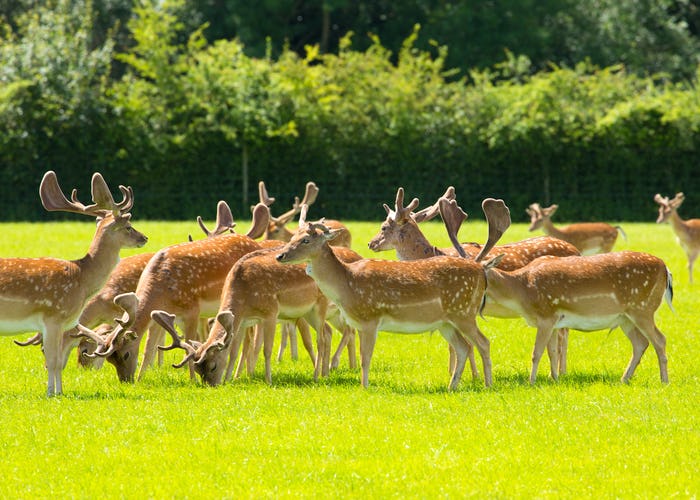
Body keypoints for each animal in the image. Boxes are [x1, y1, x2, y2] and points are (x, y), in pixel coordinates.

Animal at [78, 201, 270, 380]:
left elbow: (189, 348)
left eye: (125, 354)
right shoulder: (159, 314)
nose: (127, 380)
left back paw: (241, 374)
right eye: (110, 359)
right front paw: (140, 379)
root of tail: (255, 243)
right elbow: (149, 348)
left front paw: (193, 381)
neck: (163, 290)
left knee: (248, 338)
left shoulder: (193, 309)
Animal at [366, 188, 580, 376]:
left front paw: (473, 375)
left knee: (564, 334)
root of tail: (577, 250)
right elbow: (454, 344)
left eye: (384, 227)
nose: (371, 243)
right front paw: (453, 372)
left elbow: (466, 344)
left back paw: (561, 371)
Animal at [442, 197, 672, 384]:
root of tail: (665, 268)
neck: (522, 290)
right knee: (641, 343)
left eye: (477, 273)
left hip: (643, 307)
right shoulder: (553, 321)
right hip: (625, 317)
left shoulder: (547, 314)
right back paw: (624, 379)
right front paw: (554, 379)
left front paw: (531, 382)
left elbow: (536, 352)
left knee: (660, 339)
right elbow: (551, 350)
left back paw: (664, 380)